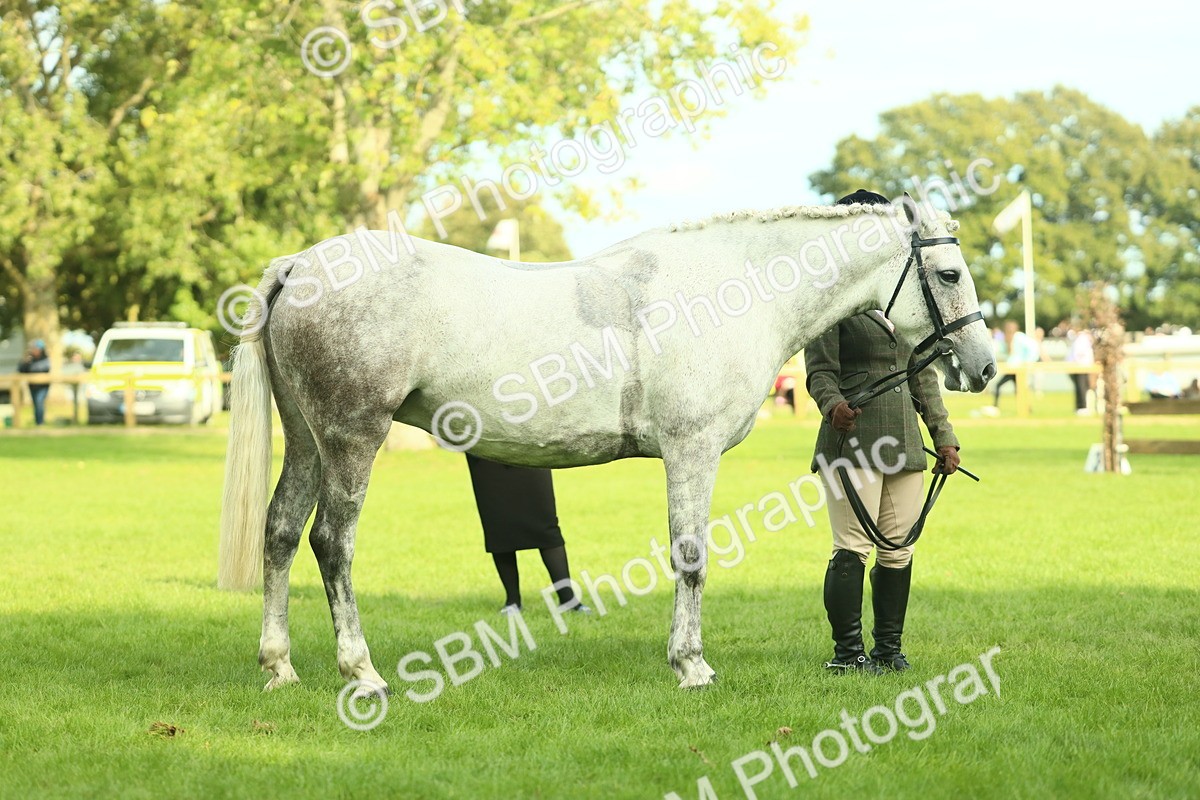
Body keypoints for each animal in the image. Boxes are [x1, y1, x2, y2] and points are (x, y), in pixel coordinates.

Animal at [218, 199, 996, 696]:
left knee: (280, 533)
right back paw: (362, 673)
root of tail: (300, 265)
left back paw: (279, 667)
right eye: (950, 274)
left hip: (307, 441)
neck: (729, 291)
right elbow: (691, 558)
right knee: (332, 543)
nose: (985, 367)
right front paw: (692, 667)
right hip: (353, 437)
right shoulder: (691, 451)